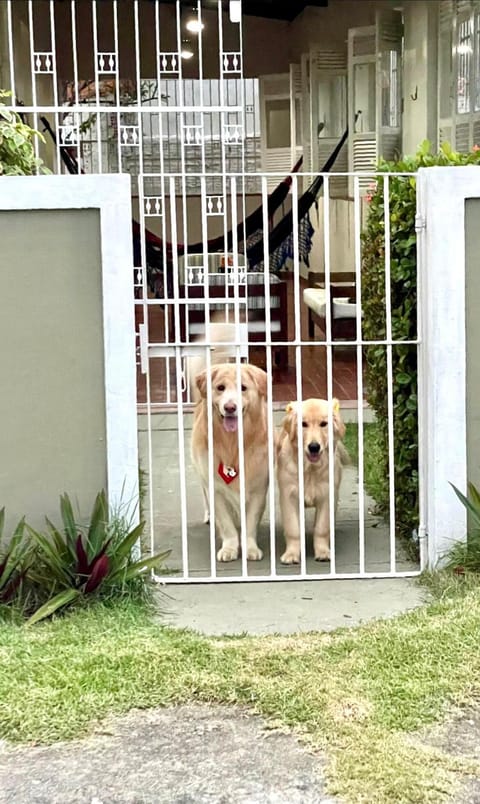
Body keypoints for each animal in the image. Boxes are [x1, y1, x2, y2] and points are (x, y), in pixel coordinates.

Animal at [189, 362, 268, 564]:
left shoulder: (258, 488)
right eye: (220, 388)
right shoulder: (215, 488)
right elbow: (226, 524)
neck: (232, 442)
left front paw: (250, 548)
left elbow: (250, 522)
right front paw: (229, 549)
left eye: (243, 388)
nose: (230, 407)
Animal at [276, 398, 346, 564]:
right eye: (303, 424)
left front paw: (323, 552)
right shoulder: (289, 497)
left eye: (323, 424)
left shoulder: (327, 496)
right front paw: (291, 554)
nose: (314, 447)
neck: (310, 469)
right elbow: (293, 528)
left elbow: (321, 527)